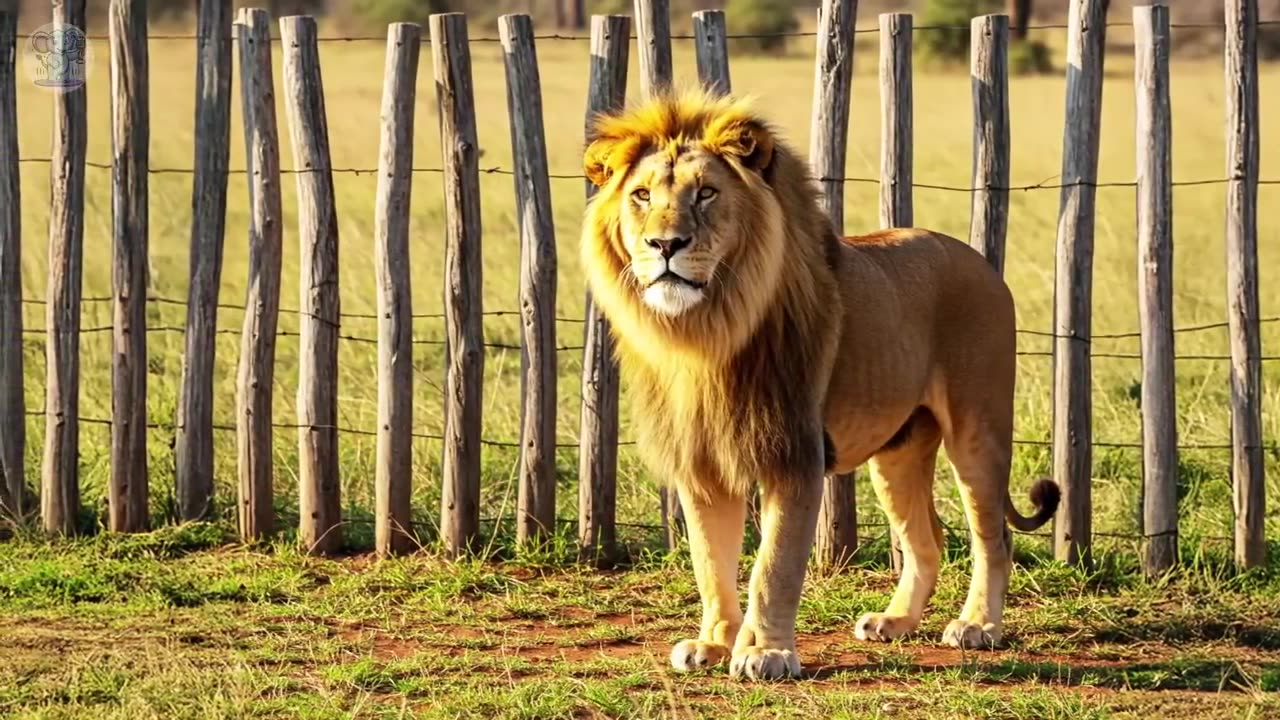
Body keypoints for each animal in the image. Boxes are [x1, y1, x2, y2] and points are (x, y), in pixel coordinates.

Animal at [580, 90, 1059, 681]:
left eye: (707, 193)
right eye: (642, 195)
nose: (664, 244)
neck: (705, 333)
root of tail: (984, 264)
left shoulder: (794, 455)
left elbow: (773, 566)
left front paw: (765, 652)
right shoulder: (702, 464)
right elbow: (710, 563)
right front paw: (714, 643)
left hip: (977, 432)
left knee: (993, 537)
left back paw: (978, 625)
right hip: (896, 454)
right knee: (928, 540)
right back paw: (895, 622)